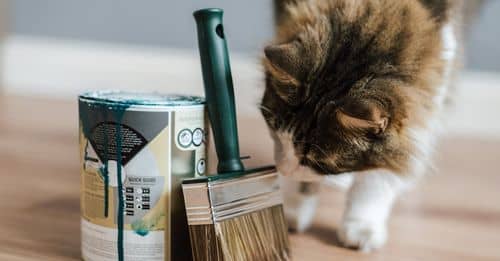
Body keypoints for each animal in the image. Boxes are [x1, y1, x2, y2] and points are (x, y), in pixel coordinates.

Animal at [262, 0, 464, 252]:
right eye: (274, 130)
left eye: (315, 161)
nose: (281, 169)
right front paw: (291, 206)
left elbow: (382, 169)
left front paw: (362, 226)